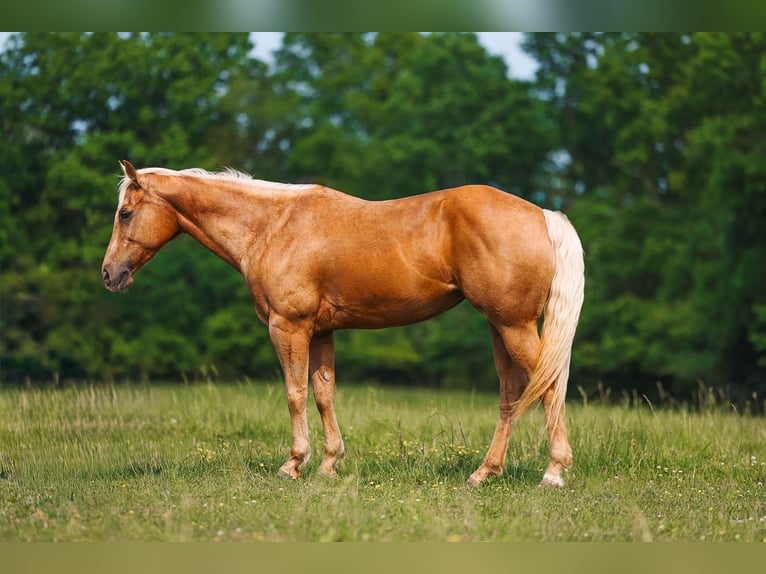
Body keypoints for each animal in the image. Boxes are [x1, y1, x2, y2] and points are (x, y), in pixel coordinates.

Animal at [102, 160, 584, 488]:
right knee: (512, 394)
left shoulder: (288, 327)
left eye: (125, 213)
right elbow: (323, 394)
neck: (272, 226)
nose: (109, 274)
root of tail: (542, 215)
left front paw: (294, 464)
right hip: (500, 326)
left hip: (513, 325)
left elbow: (295, 394)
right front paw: (330, 463)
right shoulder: (321, 332)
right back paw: (484, 472)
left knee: (547, 387)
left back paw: (553, 472)